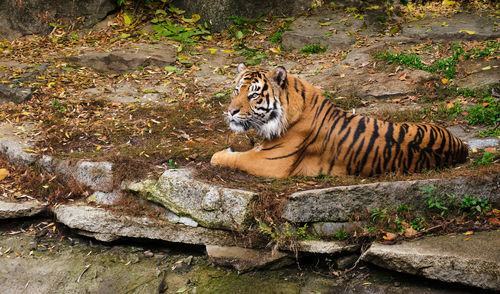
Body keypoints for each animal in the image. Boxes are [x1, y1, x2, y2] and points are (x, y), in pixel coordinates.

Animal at [211, 64, 468, 178]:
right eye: (236, 91)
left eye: (253, 95)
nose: (231, 111)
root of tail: (461, 147)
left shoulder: (270, 164)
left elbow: (237, 159)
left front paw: (219, 155)